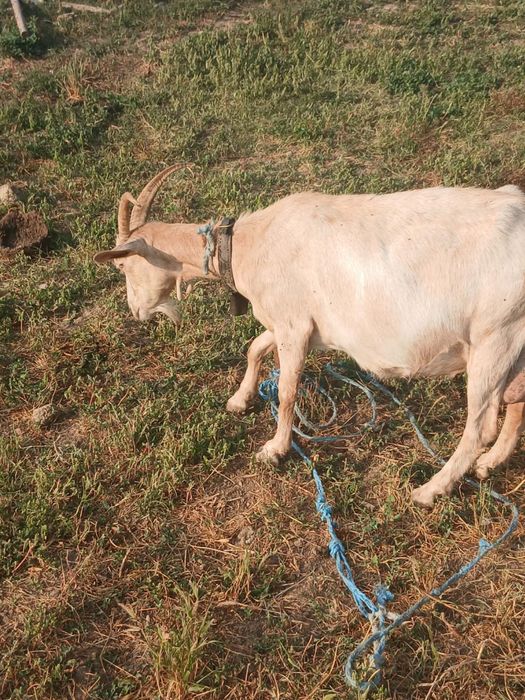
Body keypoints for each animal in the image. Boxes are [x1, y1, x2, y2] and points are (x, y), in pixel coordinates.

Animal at [94, 166, 525, 507]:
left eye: (123, 268)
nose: (137, 312)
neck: (249, 245)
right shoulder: (291, 323)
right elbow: (254, 348)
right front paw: (239, 400)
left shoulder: (294, 326)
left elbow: (287, 392)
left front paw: (275, 450)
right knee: (516, 401)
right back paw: (490, 464)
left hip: (495, 335)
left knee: (480, 425)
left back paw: (431, 489)